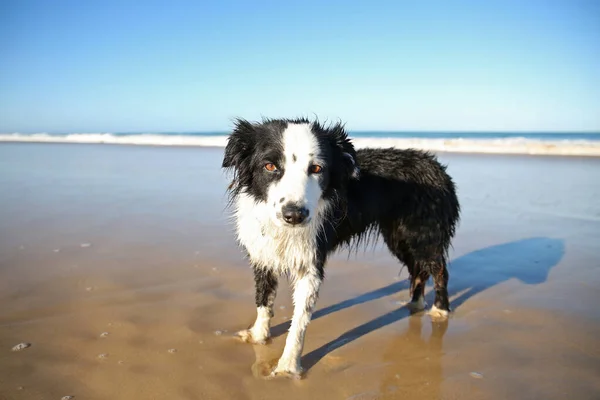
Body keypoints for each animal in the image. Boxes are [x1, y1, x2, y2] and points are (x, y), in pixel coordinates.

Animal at [220, 117, 460, 380]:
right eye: (270, 166)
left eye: (316, 168)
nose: (294, 215)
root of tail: (438, 168)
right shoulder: (263, 255)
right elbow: (263, 299)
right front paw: (258, 336)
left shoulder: (311, 262)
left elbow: (299, 321)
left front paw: (288, 367)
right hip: (398, 238)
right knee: (418, 271)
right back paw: (415, 304)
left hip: (422, 236)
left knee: (438, 270)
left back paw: (440, 309)